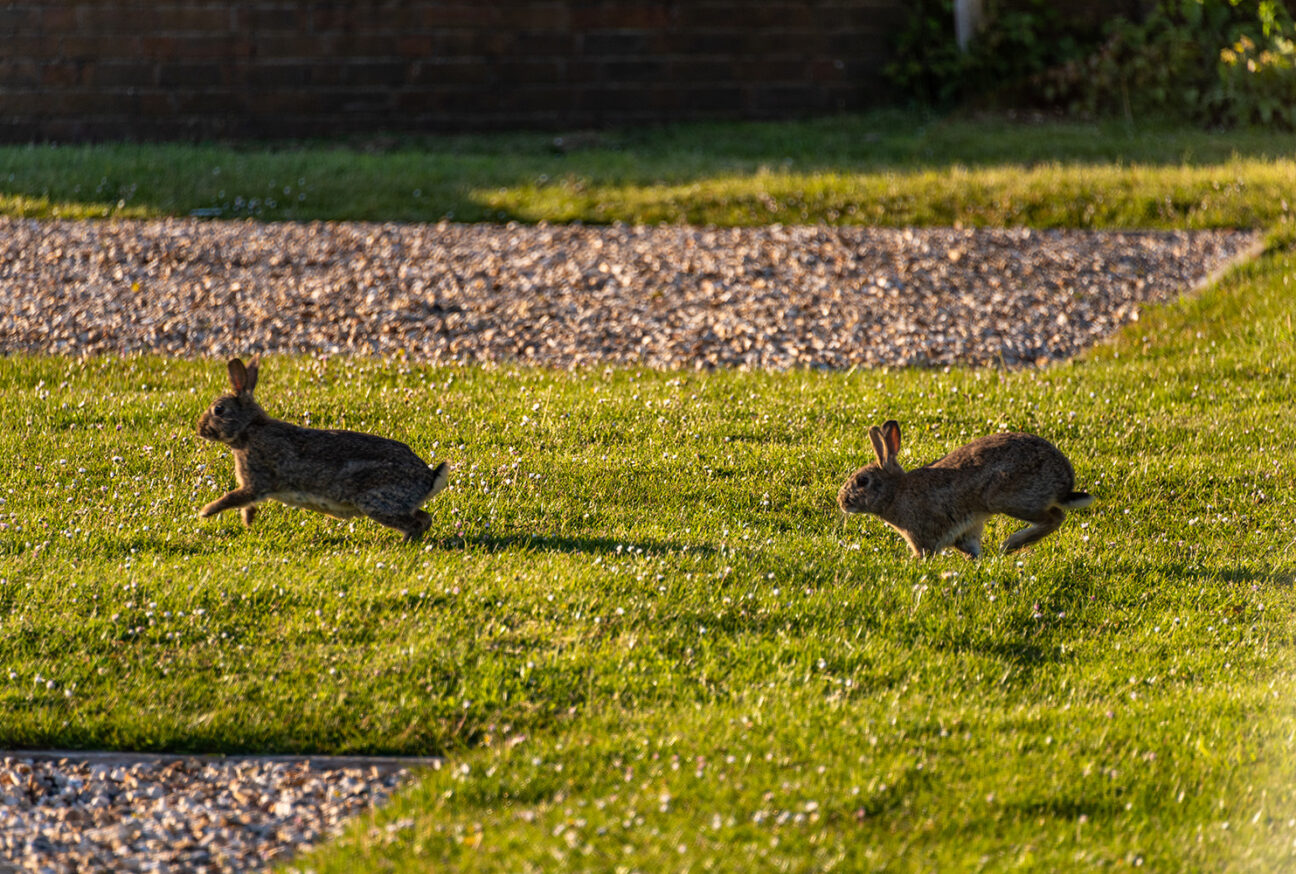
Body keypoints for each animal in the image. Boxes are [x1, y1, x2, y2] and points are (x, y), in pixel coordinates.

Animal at [196, 357, 449, 541]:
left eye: (219, 410)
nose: (199, 429)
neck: (249, 429)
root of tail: (429, 479)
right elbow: (247, 503)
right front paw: (248, 521)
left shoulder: (256, 480)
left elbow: (234, 497)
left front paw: (205, 512)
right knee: (424, 518)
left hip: (377, 502)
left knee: (415, 522)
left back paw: (402, 542)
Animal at [837, 420, 1092, 559]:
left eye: (862, 481)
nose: (841, 501)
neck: (896, 492)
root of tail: (1065, 481)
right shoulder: (965, 534)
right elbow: (972, 550)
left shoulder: (923, 536)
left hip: (1009, 498)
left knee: (1055, 517)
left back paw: (1009, 544)